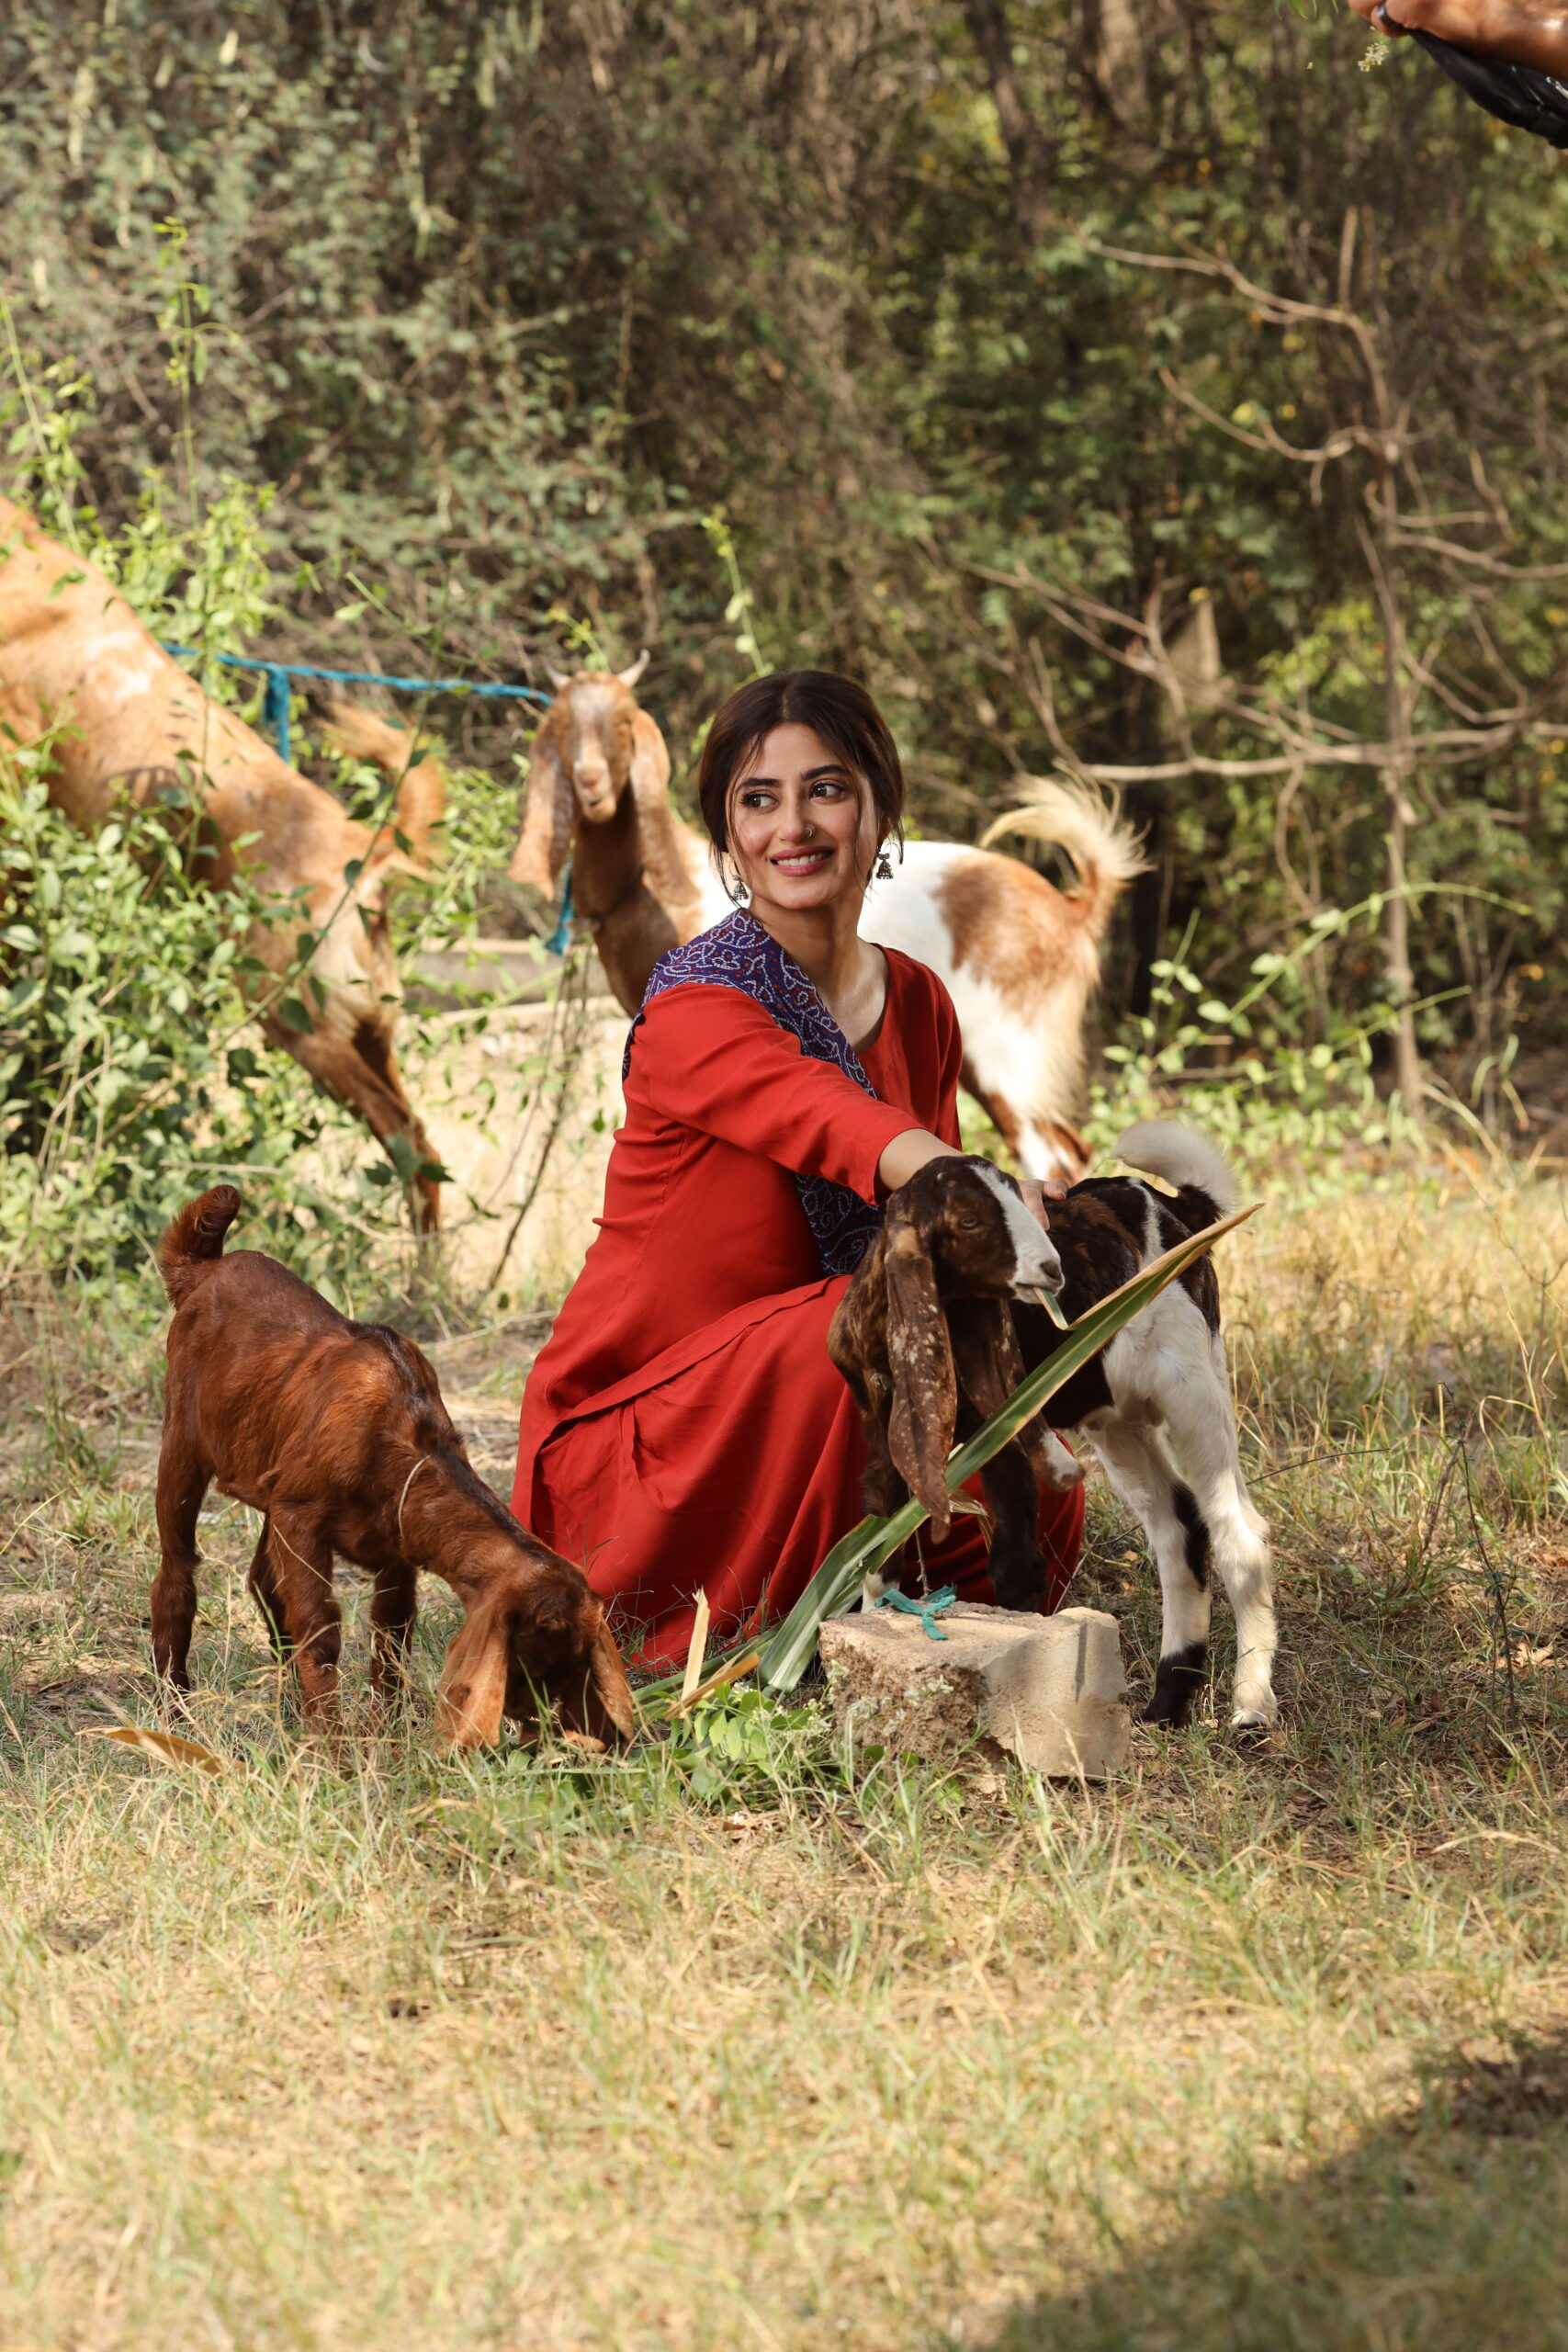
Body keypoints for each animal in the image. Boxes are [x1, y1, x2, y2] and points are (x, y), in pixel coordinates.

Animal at [150, 1185, 636, 1750]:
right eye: (538, 1661)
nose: (568, 1735)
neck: (404, 1438)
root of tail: (200, 1269)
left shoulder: (396, 1543)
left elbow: (392, 1633)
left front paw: (384, 1732)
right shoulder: (301, 1518)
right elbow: (320, 1632)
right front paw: (332, 1752)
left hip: (270, 1479)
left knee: (263, 1584)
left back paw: (287, 1710)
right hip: (182, 1445)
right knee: (177, 1573)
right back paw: (173, 1712)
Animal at [509, 666, 1144, 1178]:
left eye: (621, 724)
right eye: (561, 726)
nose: (590, 784)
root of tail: (1071, 908)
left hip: (1008, 1050)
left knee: (1048, 1154)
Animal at [828, 1123, 1279, 1734]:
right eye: (968, 1220)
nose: (1052, 1269)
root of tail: (1174, 1206)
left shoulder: (1008, 1433)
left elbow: (1015, 1562)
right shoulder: (885, 1436)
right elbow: (881, 1562)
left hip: (1193, 1384)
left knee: (1238, 1533)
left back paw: (1251, 1709)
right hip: (1115, 1416)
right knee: (1178, 1526)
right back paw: (1167, 1704)